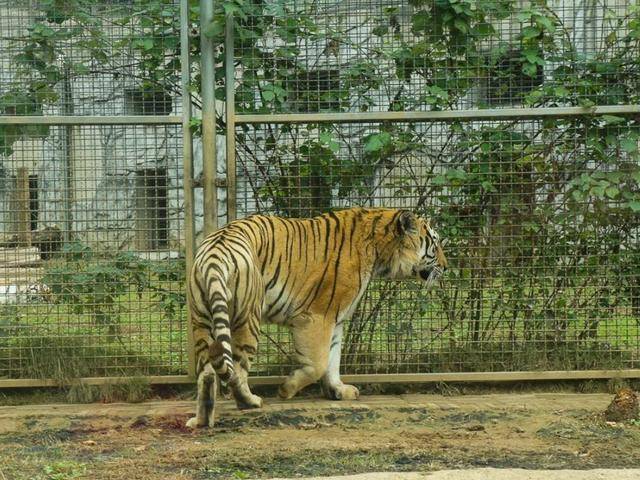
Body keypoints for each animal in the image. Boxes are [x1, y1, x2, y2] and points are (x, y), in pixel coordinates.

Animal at [185, 206, 444, 428]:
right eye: (434, 243)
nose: (446, 266)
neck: (378, 248)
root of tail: (214, 252)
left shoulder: (336, 319)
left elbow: (333, 359)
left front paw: (338, 391)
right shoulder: (318, 316)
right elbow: (319, 364)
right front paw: (287, 389)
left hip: (202, 319)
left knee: (206, 374)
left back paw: (200, 420)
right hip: (248, 319)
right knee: (237, 369)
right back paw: (250, 401)